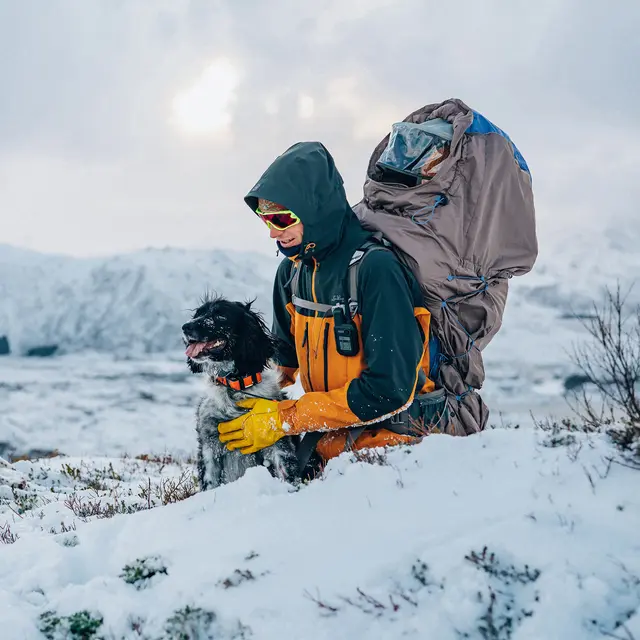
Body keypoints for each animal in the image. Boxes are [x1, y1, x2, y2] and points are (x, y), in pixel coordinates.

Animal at [180, 296, 300, 490]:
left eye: (220, 315)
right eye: (198, 314)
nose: (185, 326)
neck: (235, 386)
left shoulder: (277, 443)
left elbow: (288, 474)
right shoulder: (209, 444)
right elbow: (210, 482)